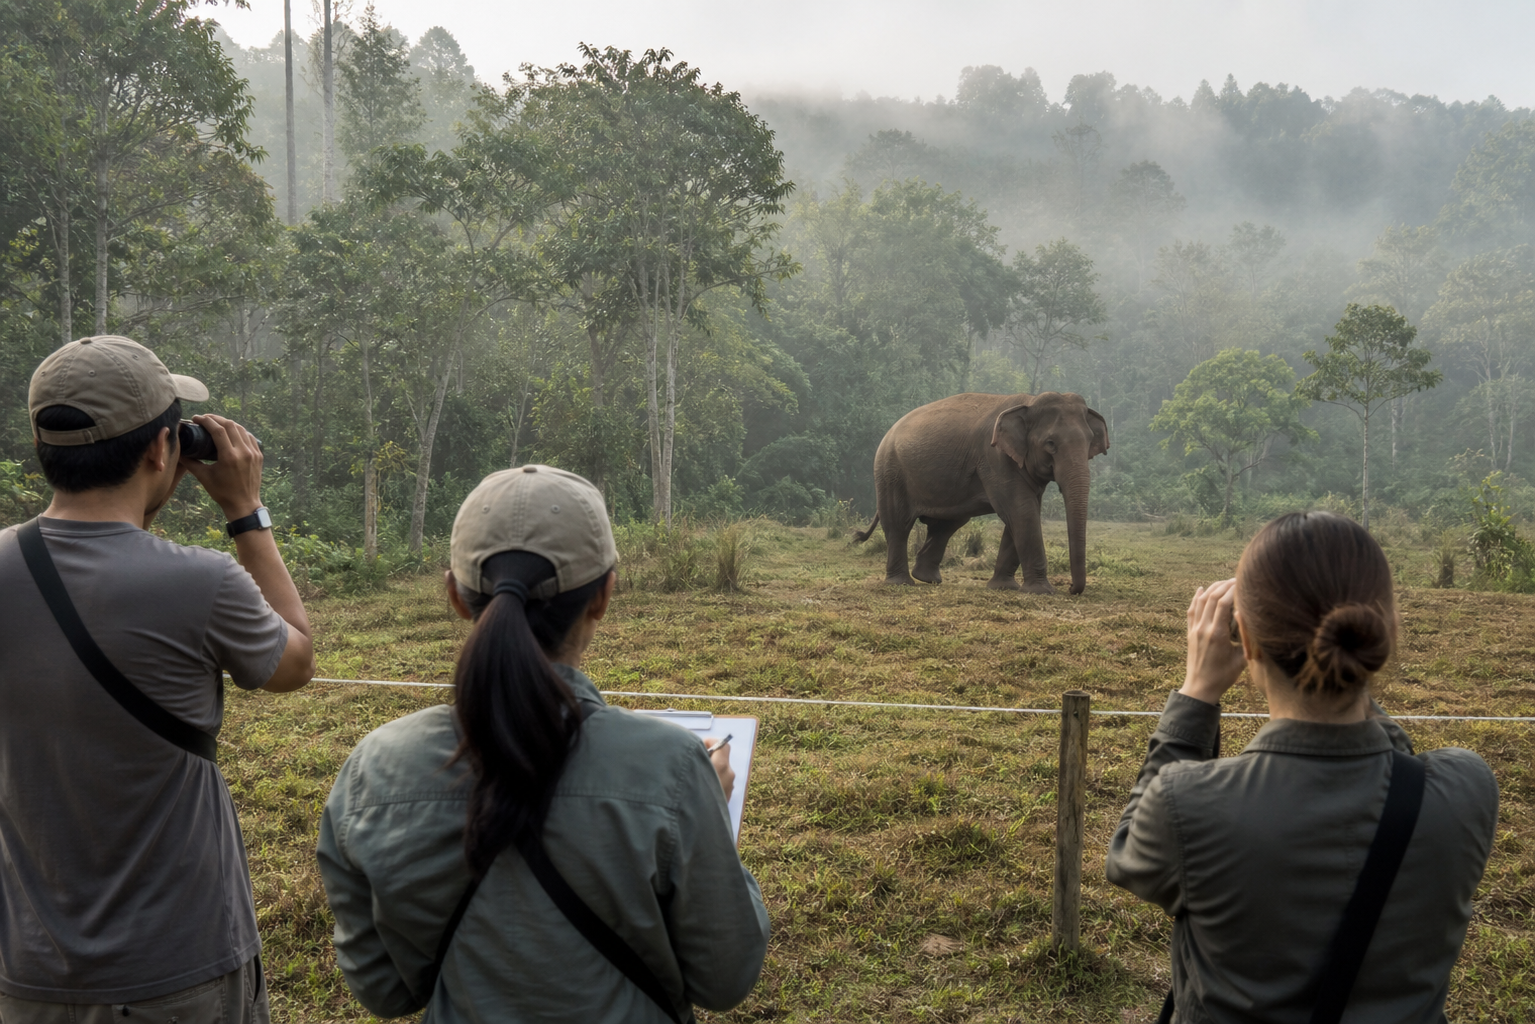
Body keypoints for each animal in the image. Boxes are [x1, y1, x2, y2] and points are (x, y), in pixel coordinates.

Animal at [851, 392, 1109, 595]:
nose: (1071, 588)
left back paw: (927, 578)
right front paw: (1042, 591)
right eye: (1050, 444)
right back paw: (901, 583)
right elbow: (1022, 511)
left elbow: (1024, 513)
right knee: (898, 524)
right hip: (890, 472)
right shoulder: (995, 458)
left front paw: (1003, 587)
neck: (1029, 401)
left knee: (946, 525)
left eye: (1089, 442)